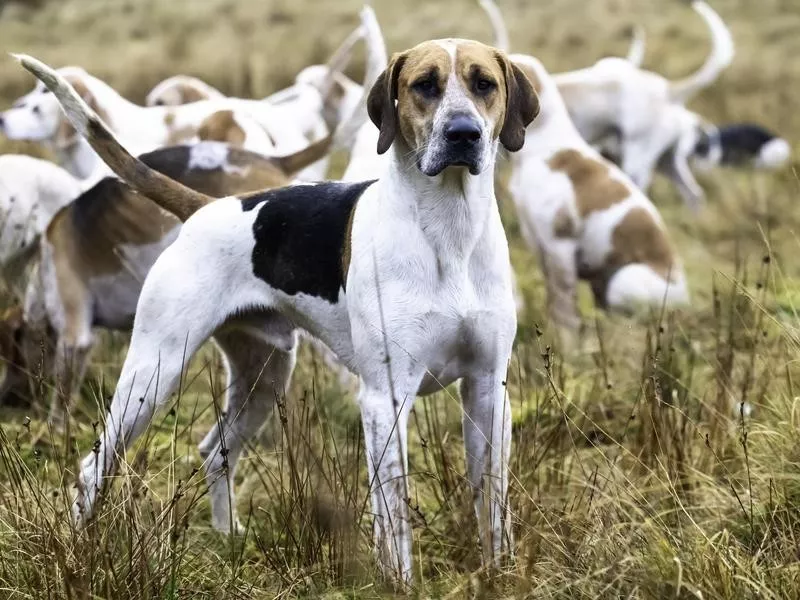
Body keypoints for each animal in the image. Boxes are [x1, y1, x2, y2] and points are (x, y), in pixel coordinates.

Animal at [21, 35, 540, 584]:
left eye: (484, 84)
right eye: (425, 85)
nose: (463, 133)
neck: (448, 231)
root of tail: (205, 207)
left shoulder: (488, 389)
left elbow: (494, 504)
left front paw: (501, 575)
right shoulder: (386, 398)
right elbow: (393, 514)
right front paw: (400, 584)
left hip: (265, 374)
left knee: (215, 451)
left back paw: (228, 537)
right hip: (152, 375)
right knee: (93, 467)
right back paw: (78, 550)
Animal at [510, 53, 684, 338]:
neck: (544, 148)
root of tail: (684, 292)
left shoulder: (559, 245)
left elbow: (564, 306)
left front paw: (566, 341)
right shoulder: (539, 243)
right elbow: (554, 300)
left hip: (623, 282)